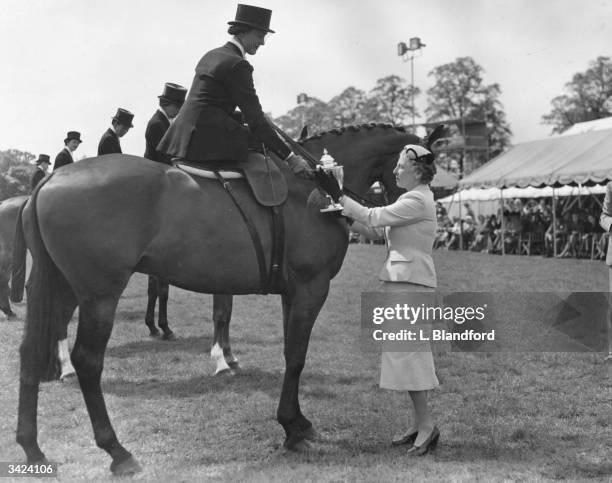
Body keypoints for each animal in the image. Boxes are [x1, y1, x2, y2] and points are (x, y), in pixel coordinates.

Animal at [15, 123, 420, 474]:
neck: (316, 187)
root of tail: (51, 180)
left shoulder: (292, 293)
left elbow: (290, 352)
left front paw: (298, 421)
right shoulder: (311, 287)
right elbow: (296, 357)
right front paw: (291, 428)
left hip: (62, 288)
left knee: (31, 351)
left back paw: (32, 447)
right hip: (98, 294)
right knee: (87, 360)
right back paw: (117, 450)